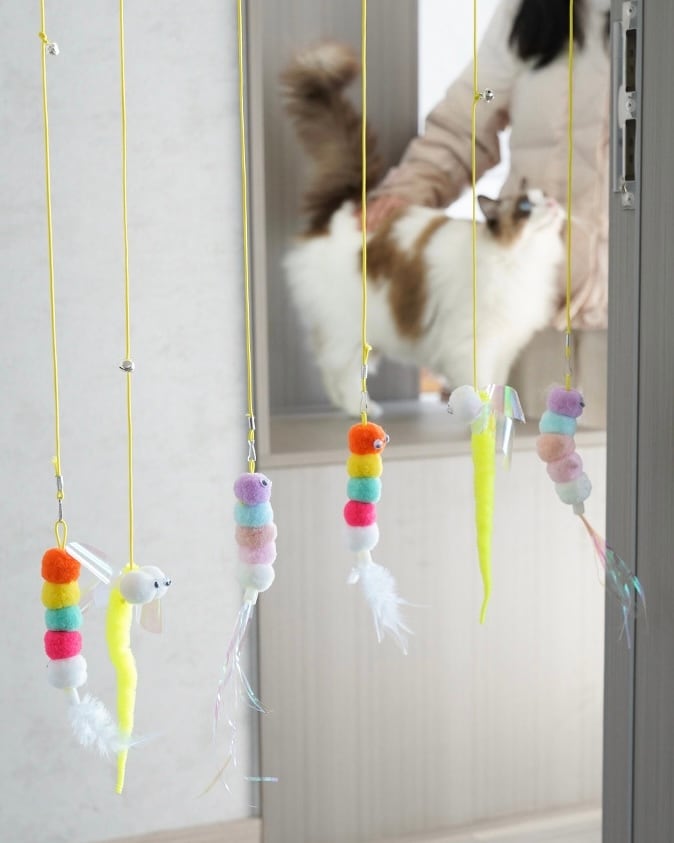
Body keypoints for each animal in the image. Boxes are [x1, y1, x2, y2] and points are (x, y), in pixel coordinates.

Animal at [281, 42, 564, 417]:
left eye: (544, 196)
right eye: (525, 208)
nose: (553, 203)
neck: (520, 259)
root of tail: (346, 206)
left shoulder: (504, 345)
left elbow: (497, 384)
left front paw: (500, 415)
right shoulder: (473, 342)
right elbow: (478, 386)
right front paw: (481, 419)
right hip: (349, 328)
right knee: (337, 371)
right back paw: (359, 410)